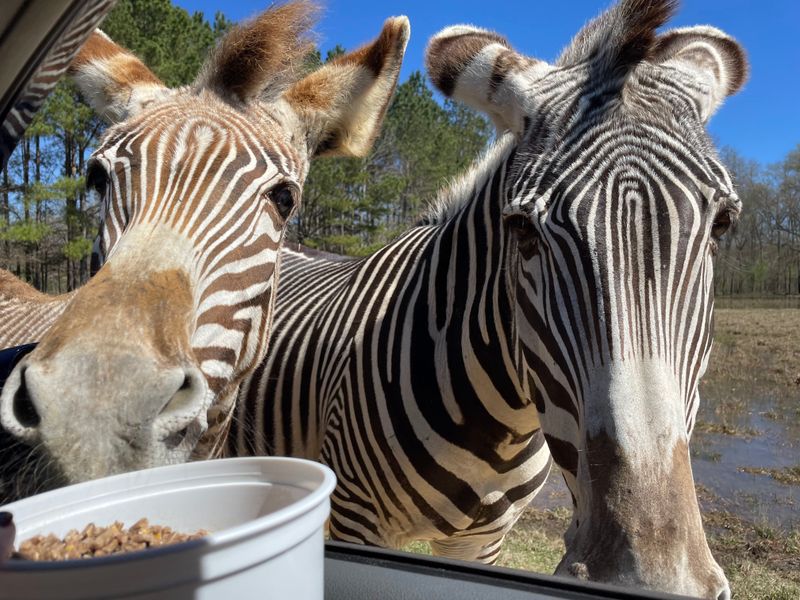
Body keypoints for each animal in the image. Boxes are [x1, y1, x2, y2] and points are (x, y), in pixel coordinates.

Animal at [231, 1, 747, 597]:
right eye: (521, 229)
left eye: (723, 223)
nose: (648, 577)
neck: (501, 427)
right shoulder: (358, 520)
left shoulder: (484, 542)